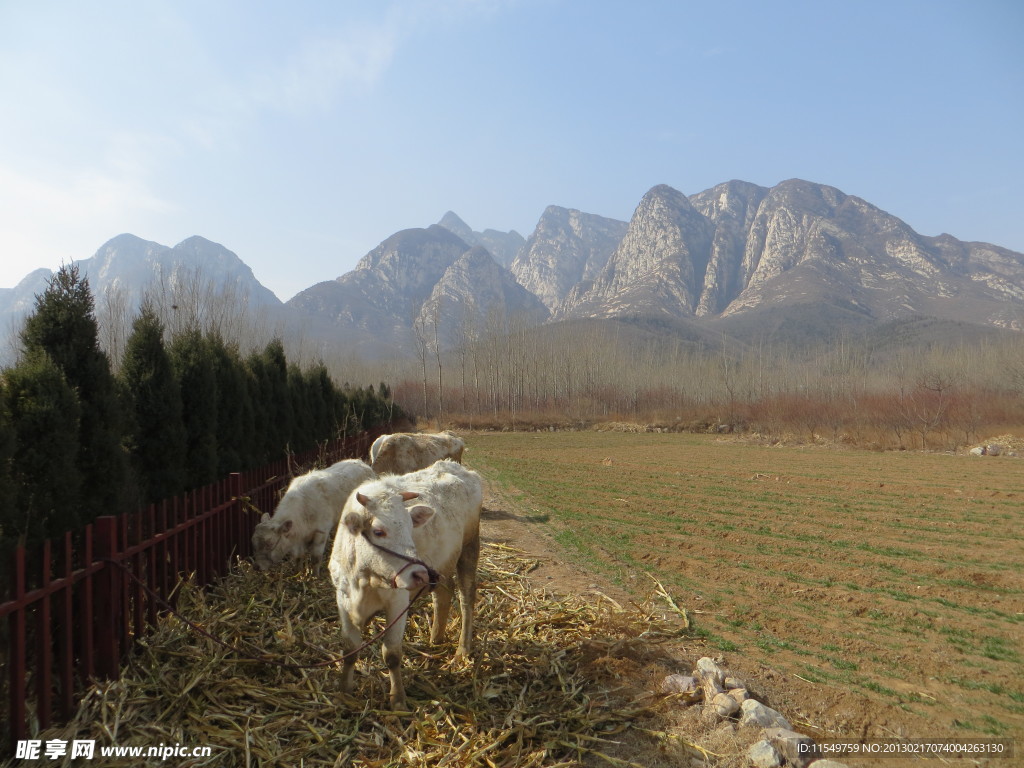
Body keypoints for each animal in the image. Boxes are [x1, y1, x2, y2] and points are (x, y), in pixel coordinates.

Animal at [329, 460, 485, 712]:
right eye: (379, 531)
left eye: (411, 527)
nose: (419, 573)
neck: (362, 579)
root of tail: (455, 466)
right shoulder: (343, 598)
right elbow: (350, 648)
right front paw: (343, 692)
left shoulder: (397, 601)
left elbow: (391, 654)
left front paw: (398, 699)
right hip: (443, 562)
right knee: (443, 594)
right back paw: (435, 638)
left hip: (470, 548)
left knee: (466, 599)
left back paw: (462, 650)